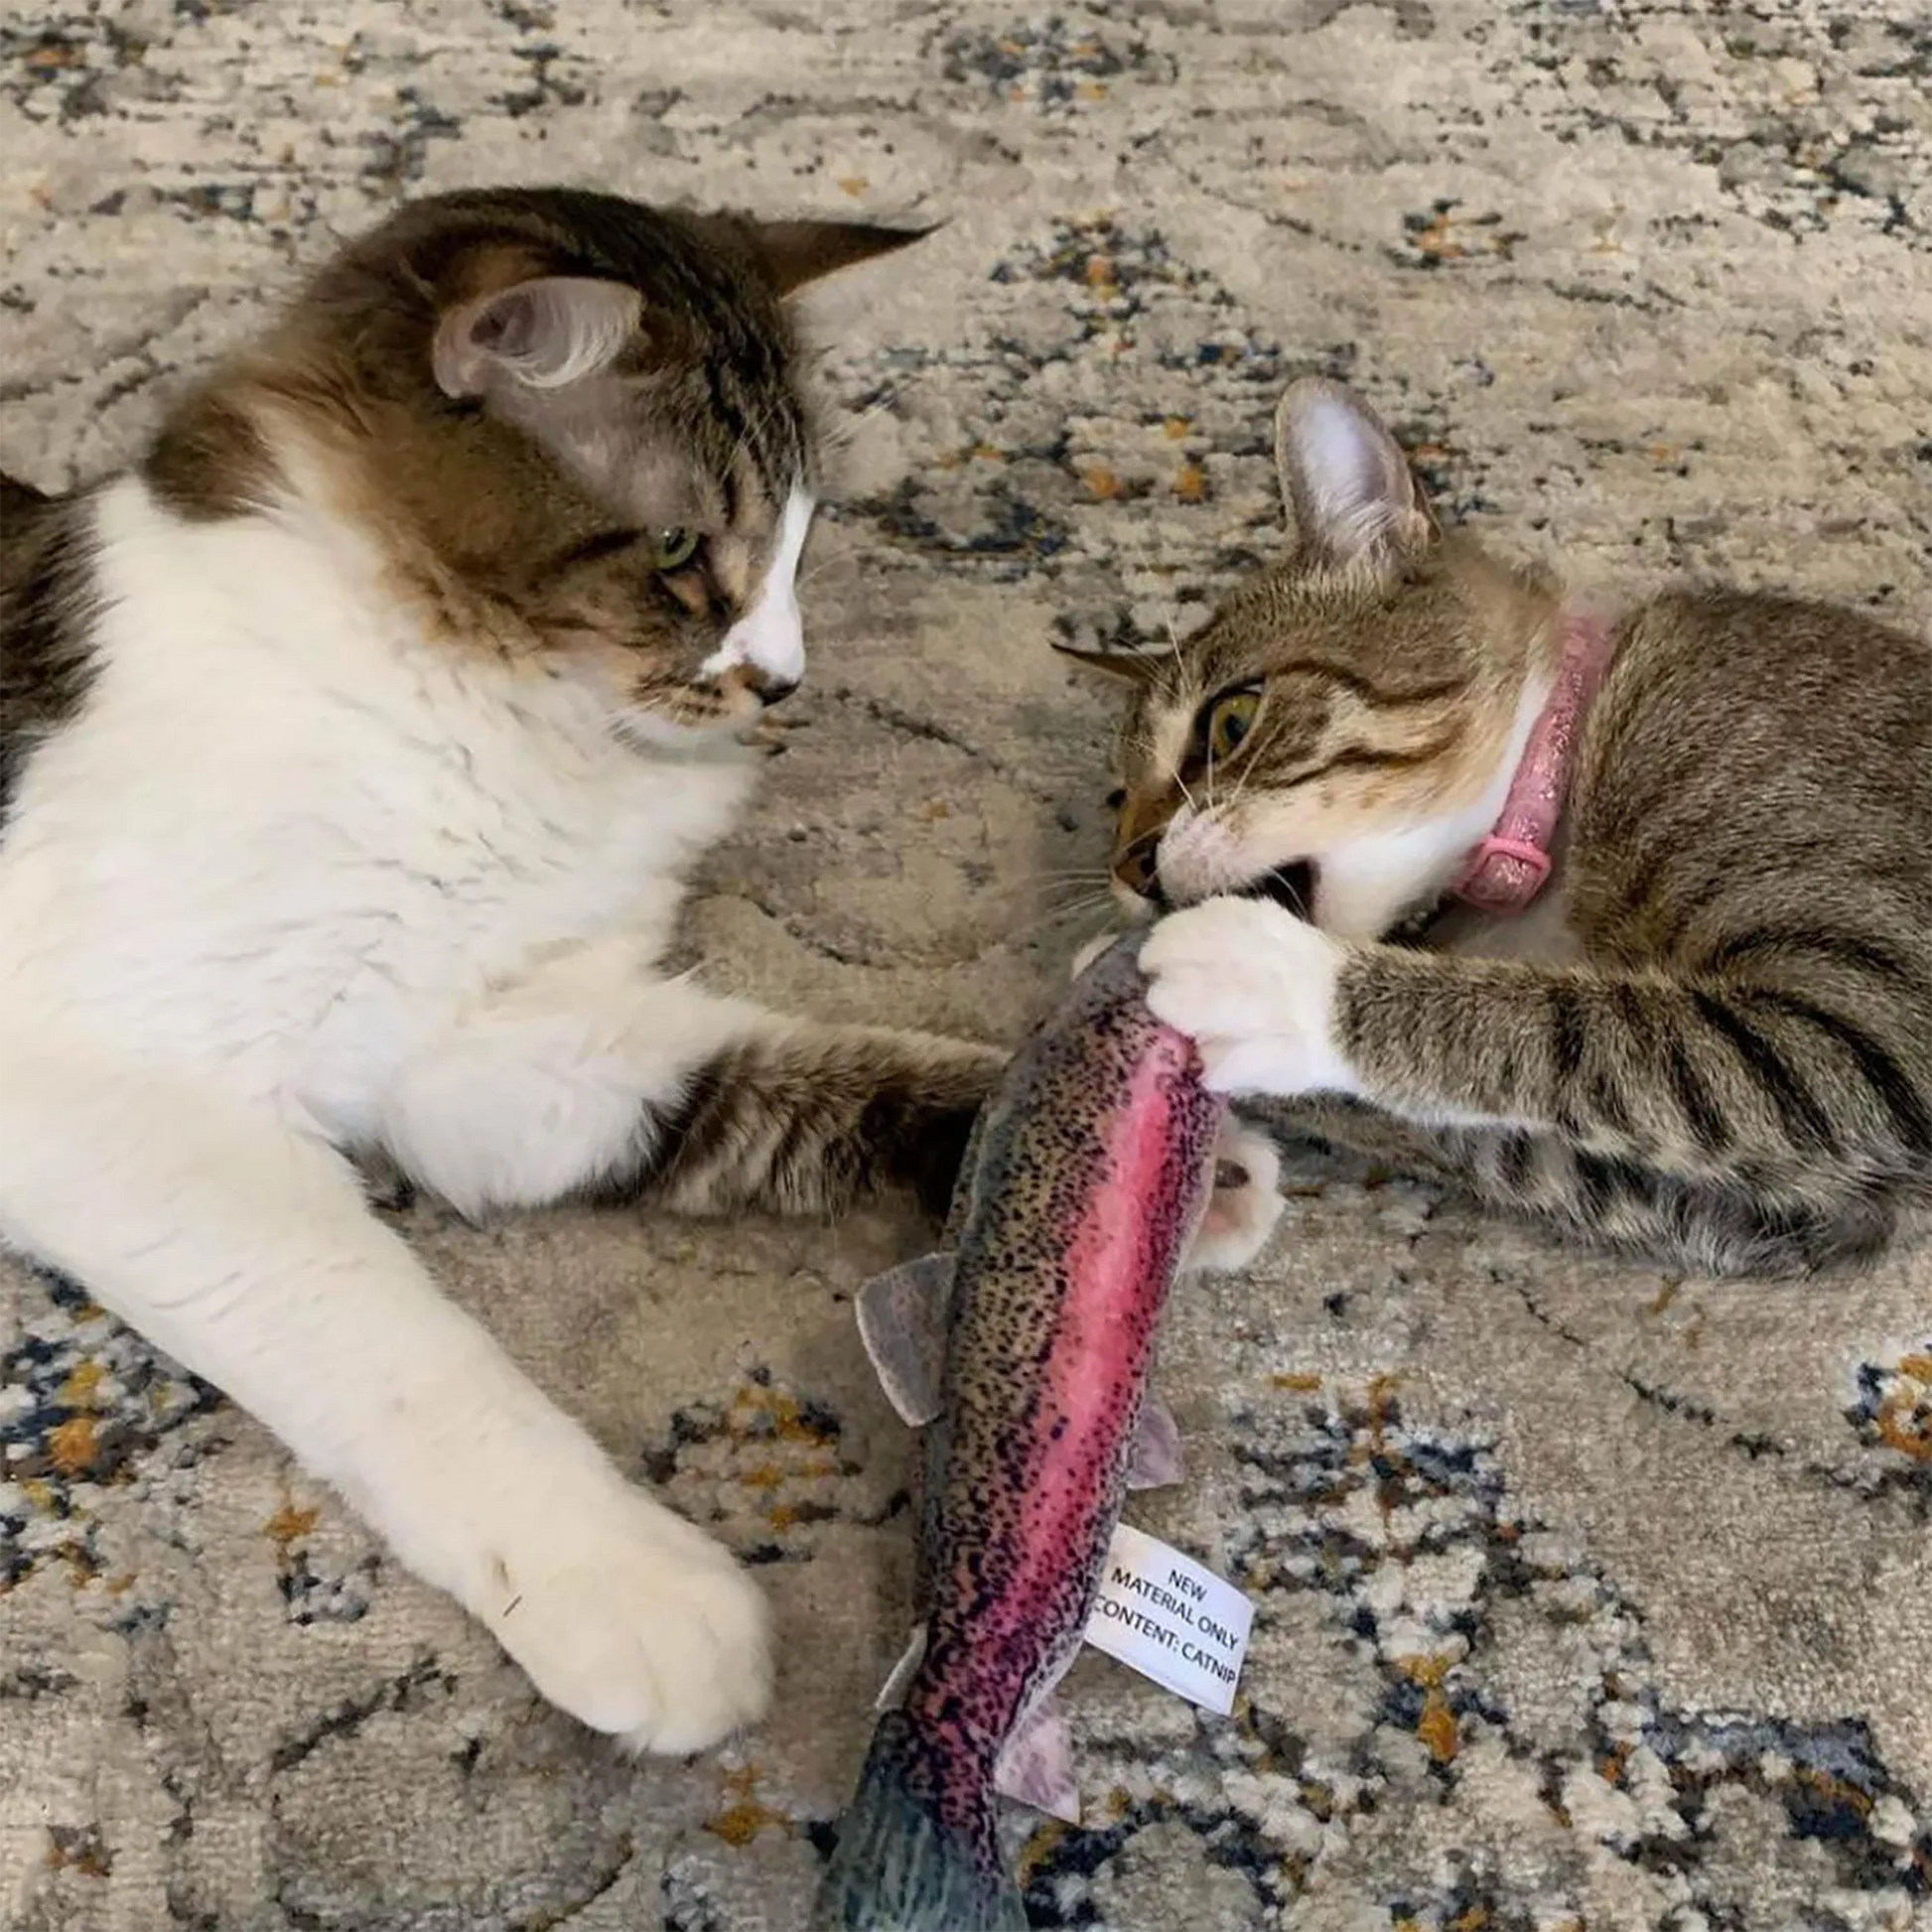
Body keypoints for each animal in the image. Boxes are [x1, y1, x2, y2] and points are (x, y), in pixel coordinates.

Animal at [1097, 376, 1932, 1283]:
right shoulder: (1792, 1213)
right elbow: (1502, 1136)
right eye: (1117, 800)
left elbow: (1575, 1032)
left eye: (1231, 720)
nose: (1129, 867)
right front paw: (1205, 1175)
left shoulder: (1869, 1030)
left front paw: (1271, 983)